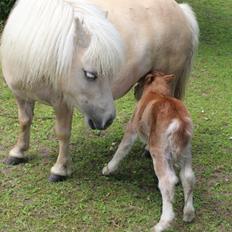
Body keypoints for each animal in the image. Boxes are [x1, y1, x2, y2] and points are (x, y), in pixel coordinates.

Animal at [0, 0, 198, 181]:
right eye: (90, 74)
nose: (108, 119)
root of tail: (180, 10)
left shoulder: (62, 103)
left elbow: (62, 133)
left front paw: (60, 169)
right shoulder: (21, 95)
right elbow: (24, 121)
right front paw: (18, 153)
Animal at [102, 71, 195, 231]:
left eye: (140, 82)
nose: (134, 90)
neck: (157, 92)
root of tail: (179, 123)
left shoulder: (132, 127)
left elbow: (122, 149)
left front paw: (108, 168)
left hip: (159, 152)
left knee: (168, 181)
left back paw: (163, 222)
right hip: (185, 153)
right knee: (188, 177)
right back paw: (188, 213)